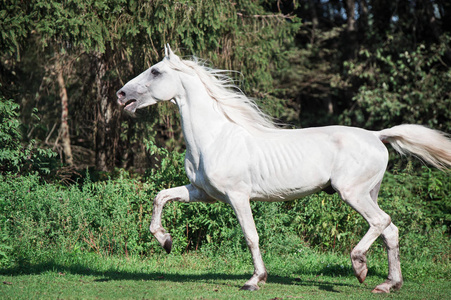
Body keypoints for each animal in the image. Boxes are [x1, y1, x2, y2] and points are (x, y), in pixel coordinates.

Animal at [118, 45, 451, 294]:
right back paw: (388, 284)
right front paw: (165, 241)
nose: (121, 95)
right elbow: (161, 197)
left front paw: (255, 280)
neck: (215, 138)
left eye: (156, 71)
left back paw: (360, 267)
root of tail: (376, 135)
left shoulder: (237, 197)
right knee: (390, 231)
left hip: (352, 193)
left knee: (381, 222)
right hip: (370, 192)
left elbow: (251, 235)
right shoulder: (202, 193)